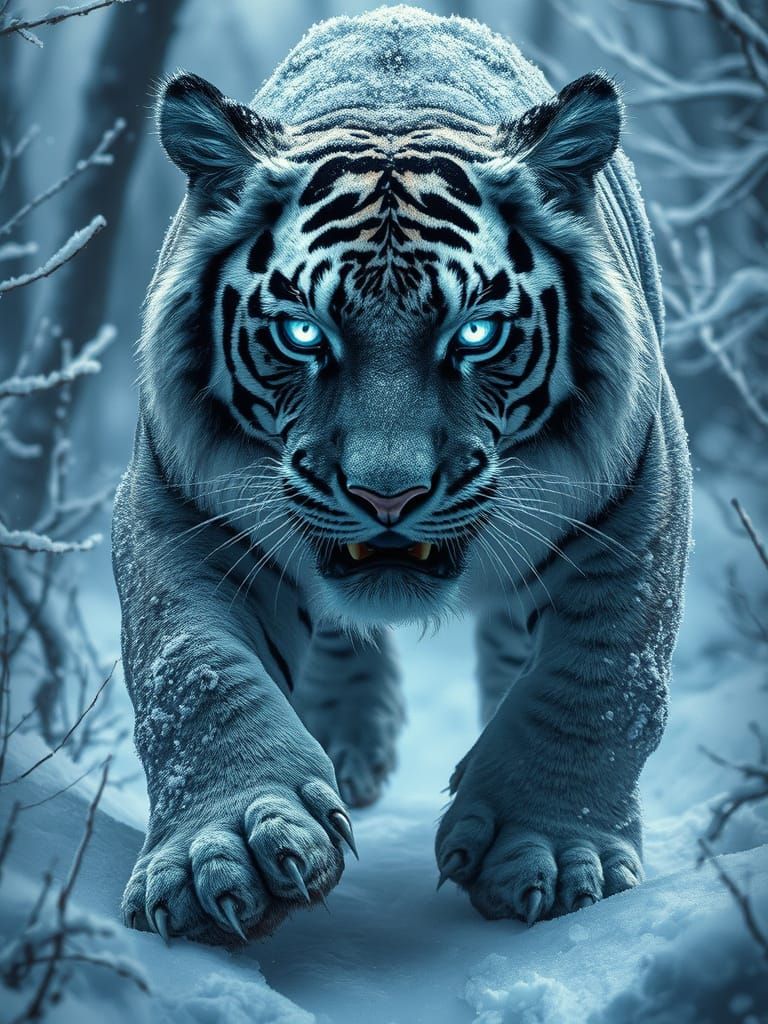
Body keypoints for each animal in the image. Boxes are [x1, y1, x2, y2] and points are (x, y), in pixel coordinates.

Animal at [113, 5, 691, 944]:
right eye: (304, 334)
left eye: (477, 334)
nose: (389, 494)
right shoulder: (179, 511)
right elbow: (192, 670)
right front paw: (226, 852)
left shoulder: (635, 508)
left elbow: (594, 684)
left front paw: (549, 852)